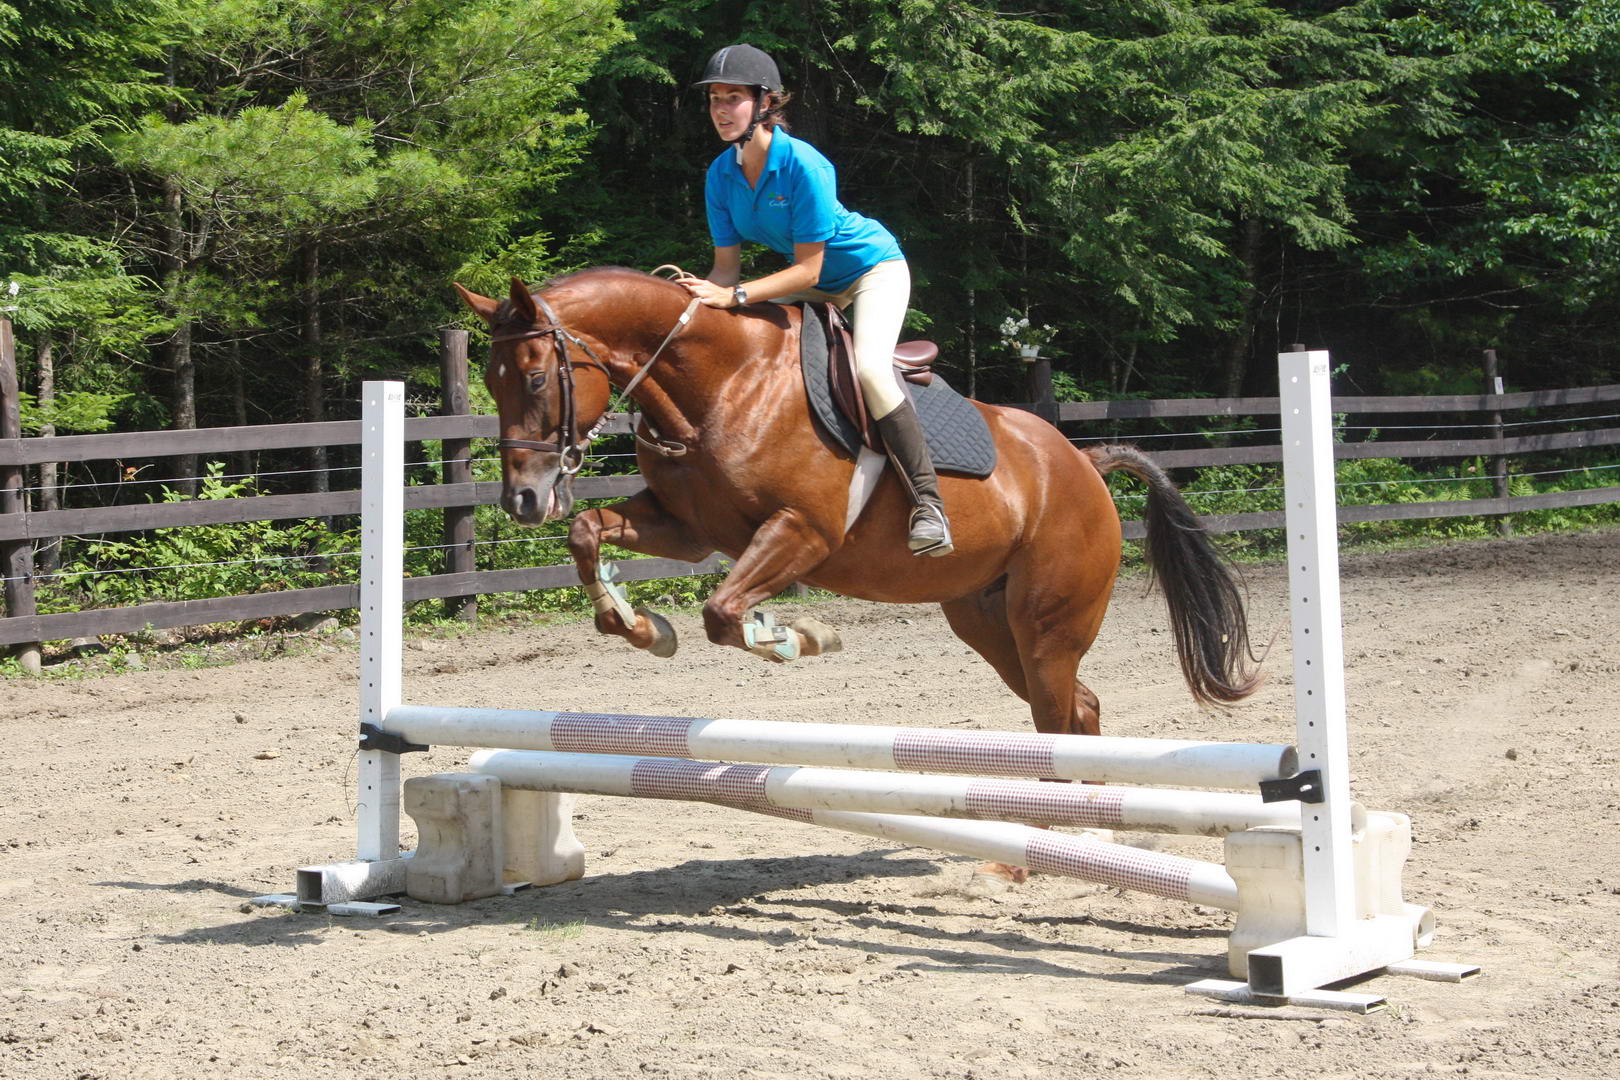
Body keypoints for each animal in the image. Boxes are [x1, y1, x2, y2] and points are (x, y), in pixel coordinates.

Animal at [450, 268, 1257, 880]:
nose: (522, 501)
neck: (723, 383)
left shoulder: (802, 531)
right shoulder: (687, 527)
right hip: (987, 622)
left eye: (534, 377)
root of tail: (1084, 465)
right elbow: (591, 533)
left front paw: (795, 637)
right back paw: (1079, 836)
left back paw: (1040, 850)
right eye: (490, 379)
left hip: (1046, 623)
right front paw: (640, 627)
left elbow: (724, 610)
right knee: (1074, 712)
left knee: (1058, 716)